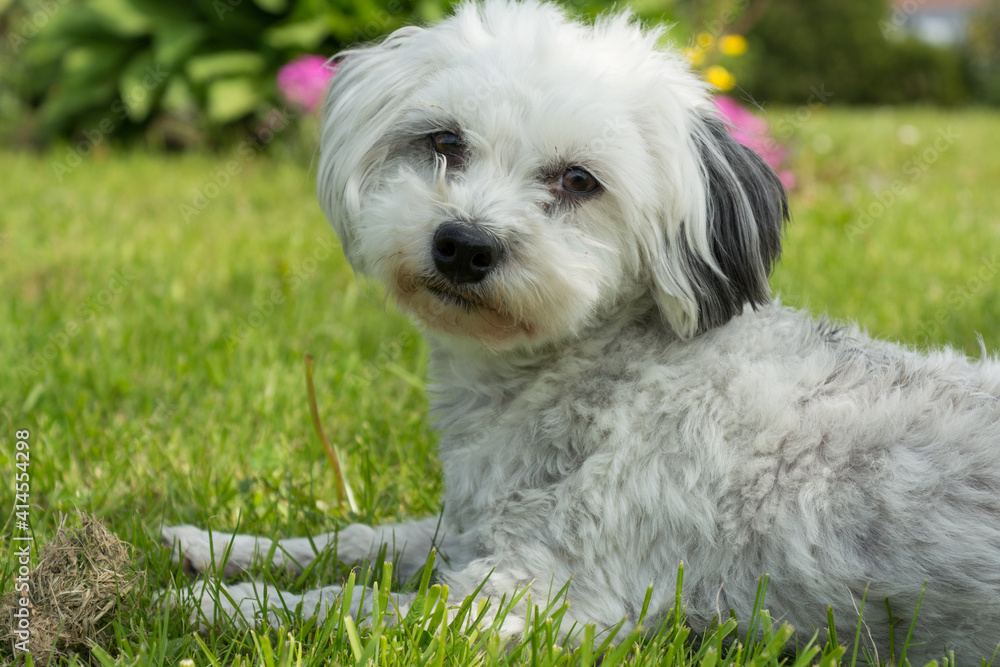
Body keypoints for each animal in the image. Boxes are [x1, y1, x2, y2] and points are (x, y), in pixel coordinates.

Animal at [164, 1, 1000, 664]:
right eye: (445, 143)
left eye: (578, 181)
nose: (463, 245)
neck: (611, 374)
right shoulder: (471, 530)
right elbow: (359, 539)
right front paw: (220, 548)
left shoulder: (537, 594)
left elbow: (352, 605)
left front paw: (226, 606)